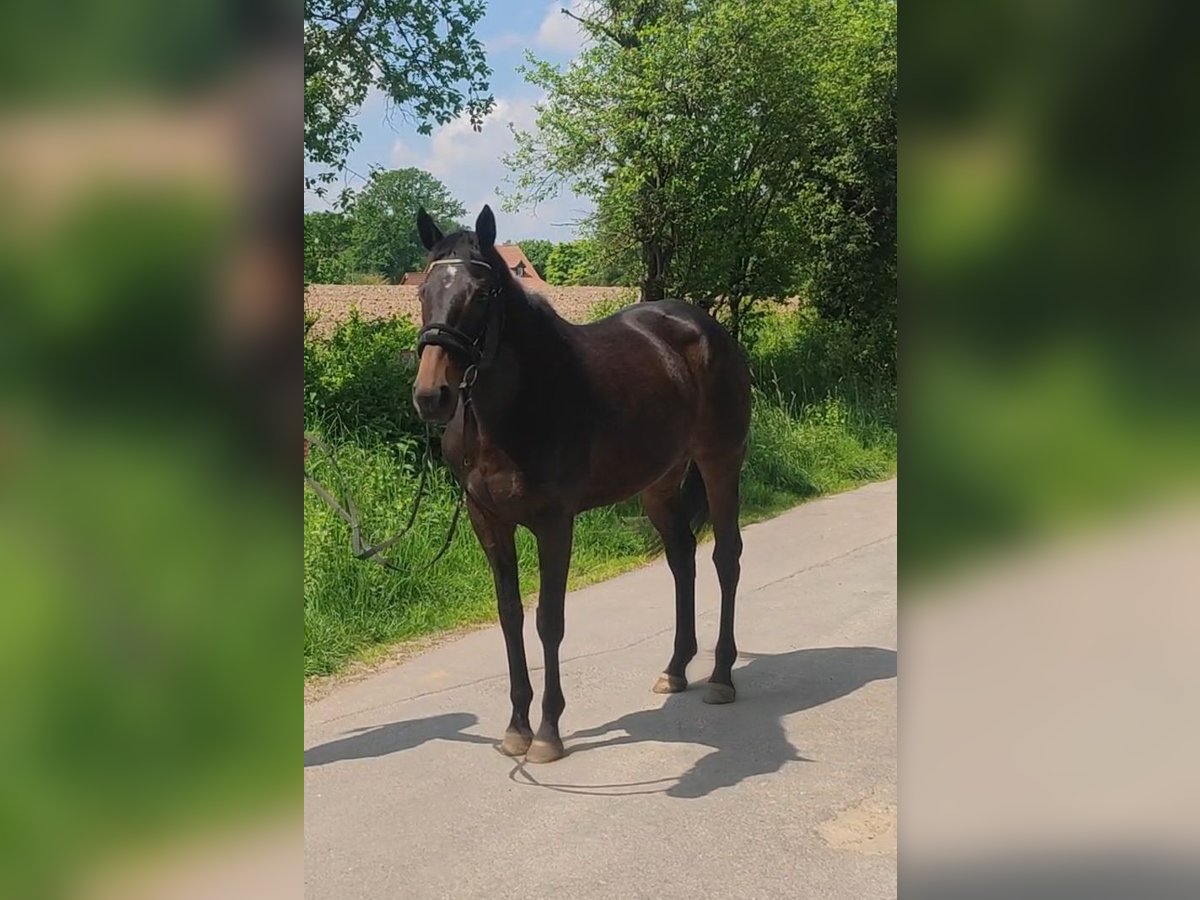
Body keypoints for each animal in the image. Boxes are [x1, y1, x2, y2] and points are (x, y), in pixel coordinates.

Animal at [412, 207, 748, 763]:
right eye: (423, 291)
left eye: (481, 294)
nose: (431, 396)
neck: (514, 410)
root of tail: (704, 327)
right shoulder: (488, 520)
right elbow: (510, 615)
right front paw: (517, 727)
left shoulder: (555, 522)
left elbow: (549, 619)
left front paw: (548, 732)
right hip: (659, 483)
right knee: (682, 557)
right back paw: (676, 669)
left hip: (721, 462)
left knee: (726, 557)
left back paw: (721, 676)